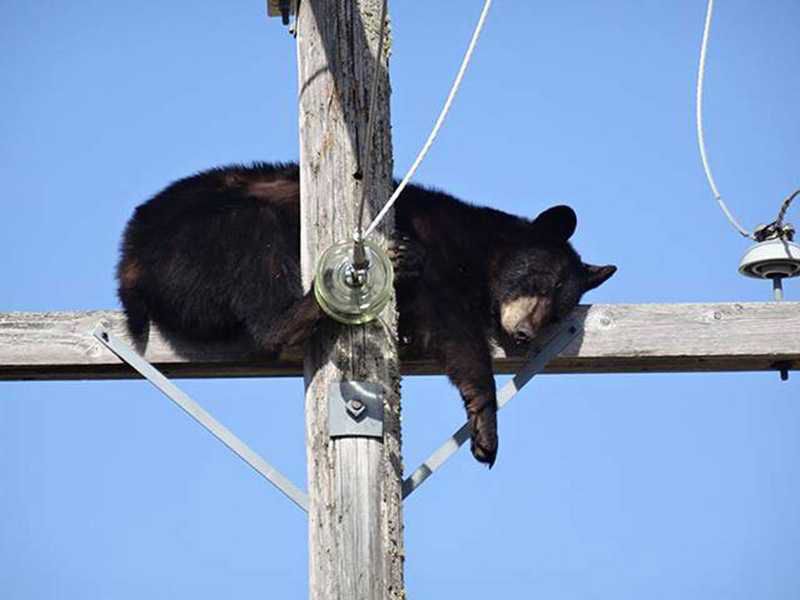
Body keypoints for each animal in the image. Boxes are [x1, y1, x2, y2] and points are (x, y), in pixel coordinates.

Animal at [119, 162, 616, 466]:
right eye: (539, 281)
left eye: (559, 309)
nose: (527, 333)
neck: (477, 253)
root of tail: (129, 261)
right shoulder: (436, 248)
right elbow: (454, 330)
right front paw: (485, 424)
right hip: (202, 241)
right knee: (256, 245)